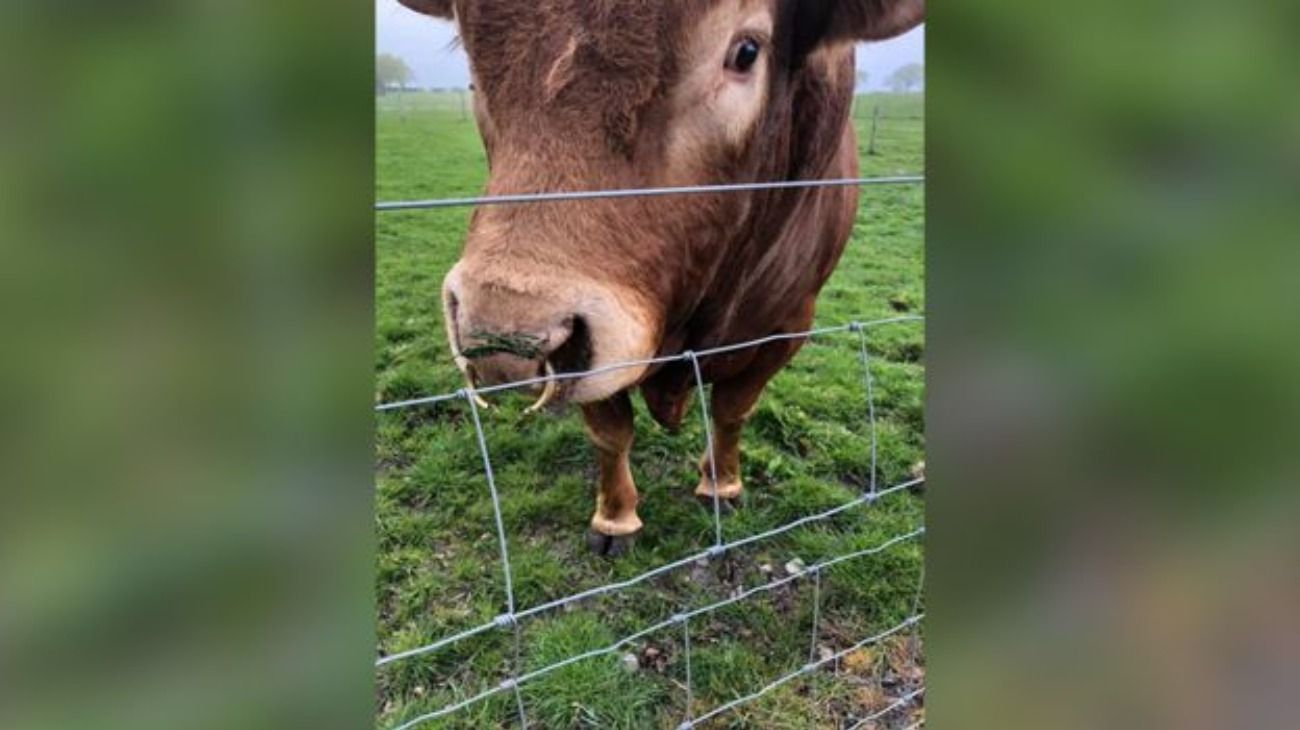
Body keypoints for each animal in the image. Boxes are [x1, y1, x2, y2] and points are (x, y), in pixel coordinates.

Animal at [400, 0, 920, 550]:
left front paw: (721, 485)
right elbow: (610, 432)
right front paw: (615, 518)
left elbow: (732, 410)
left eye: (747, 51)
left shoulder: (787, 327)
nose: (503, 335)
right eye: (473, 55)